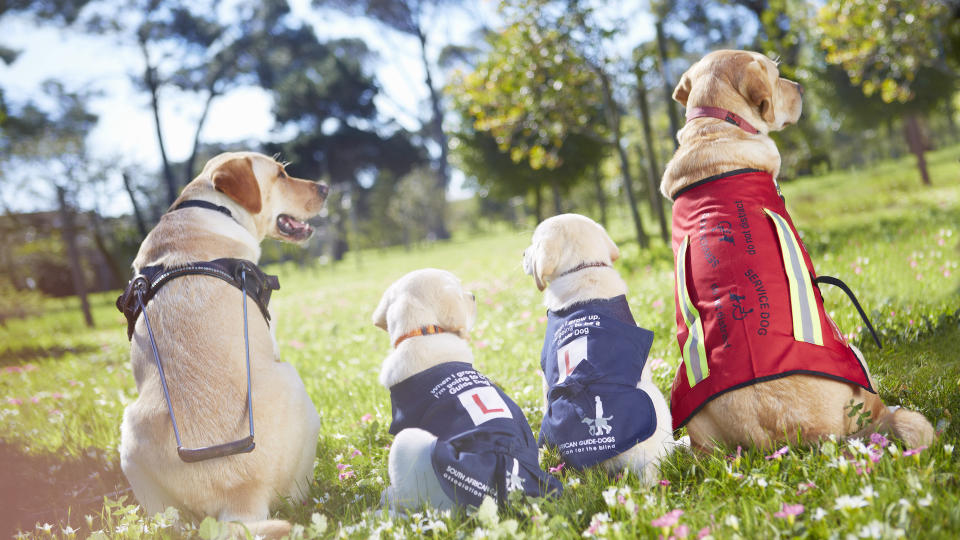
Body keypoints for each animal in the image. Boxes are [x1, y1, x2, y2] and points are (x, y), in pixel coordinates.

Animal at [115, 152, 326, 536]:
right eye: (281, 174)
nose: (326, 188)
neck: (211, 208)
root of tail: (239, 500)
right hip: (294, 382)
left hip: (128, 441)